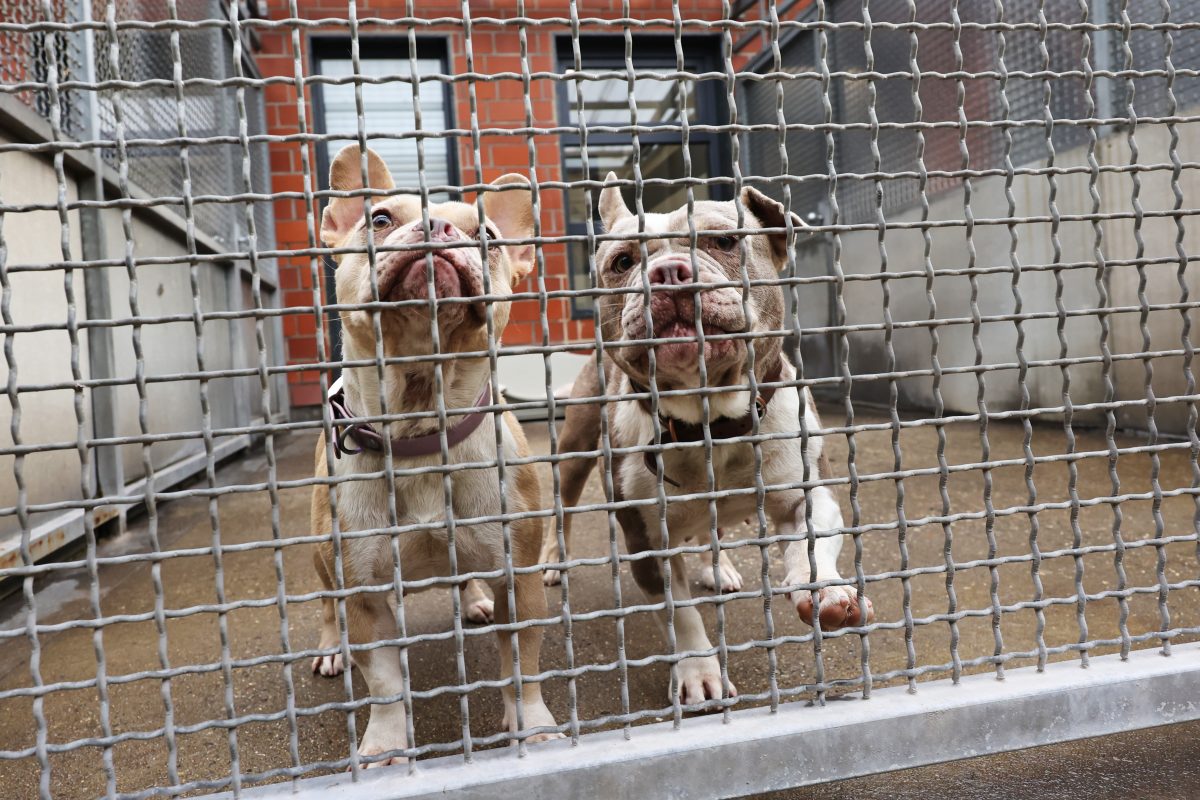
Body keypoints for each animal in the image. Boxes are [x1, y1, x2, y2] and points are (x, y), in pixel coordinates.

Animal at [307, 146, 554, 767]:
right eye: (379, 219)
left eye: (488, 235)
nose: (438, 226)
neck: (418, 427)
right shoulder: (362, 593)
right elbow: (384, 682)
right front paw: (384, 747)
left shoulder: (520, 578)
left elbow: (522, 665)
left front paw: (534, 729)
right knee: (326, 606)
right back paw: (331, 647)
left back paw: (474, 600)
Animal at [542, 176, 873, 705]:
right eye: (623, 262)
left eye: (724, 241)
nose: (669, 272)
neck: (711, 419)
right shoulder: (647, 542)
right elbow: (681, 614)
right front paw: (699, 670)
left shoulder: (807, 492)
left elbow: (813, 542)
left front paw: (826, 590)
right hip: (574, 449)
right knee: (565, 505)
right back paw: (555, 561)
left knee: (708, 532)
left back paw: (718, 568)